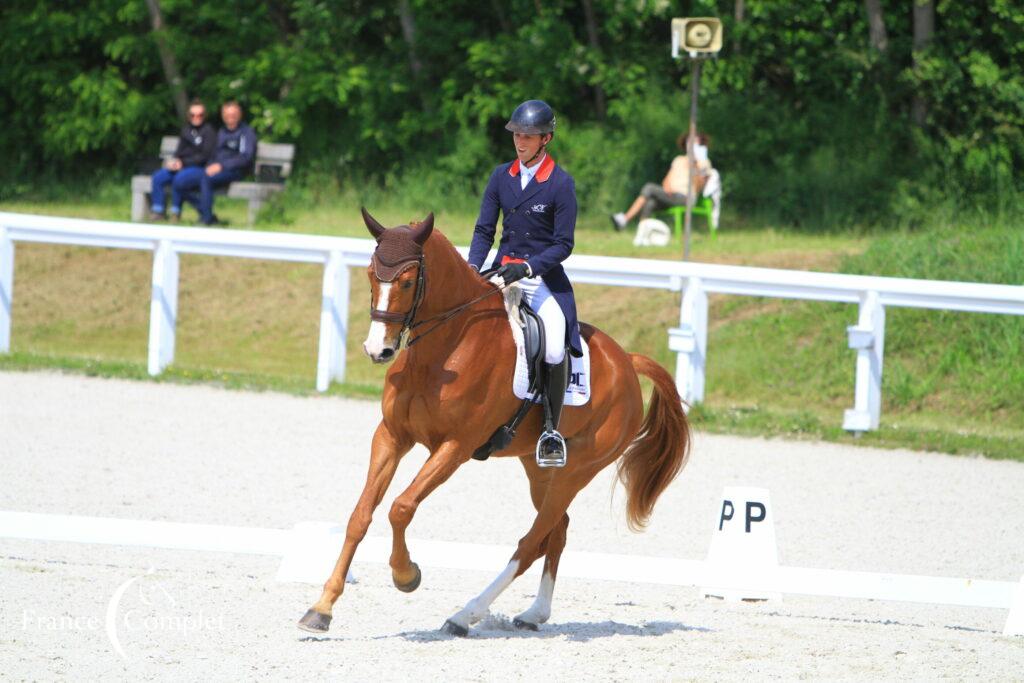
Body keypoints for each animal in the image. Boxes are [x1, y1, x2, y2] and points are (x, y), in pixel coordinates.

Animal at [299, 208, 696, 634]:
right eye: (372, 274)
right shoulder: (391, 436)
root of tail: (626, 360)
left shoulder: (455, 447)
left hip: (578, 470)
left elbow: (401, 507)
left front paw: (406, 575)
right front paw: (321, 608)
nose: (378, 350)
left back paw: (465, 614)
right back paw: (534, 613)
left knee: (532, 540)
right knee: (556, 530)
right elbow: (360, 516)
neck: (446, 348)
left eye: (406, 281)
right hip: (540, 469)